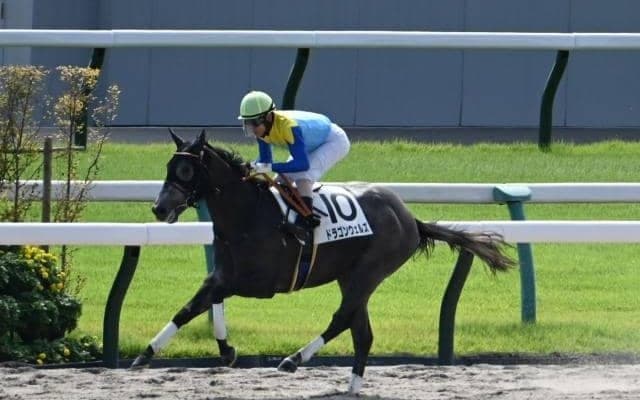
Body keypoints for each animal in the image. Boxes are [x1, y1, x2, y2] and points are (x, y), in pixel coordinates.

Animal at [132, 129, 515, 395]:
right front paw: (153, 353)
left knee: (341, 319)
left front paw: (221, 350)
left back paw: (294, 359)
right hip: (353, 276)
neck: (249, 214)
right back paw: (352, 387)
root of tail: (409, 216)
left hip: (369, 271)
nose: (159, 208)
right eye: (168, 166)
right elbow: (193, 305)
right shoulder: (225, 272)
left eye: (185, 169)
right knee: (361, 331)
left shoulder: (258, 283)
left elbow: (207, 300)